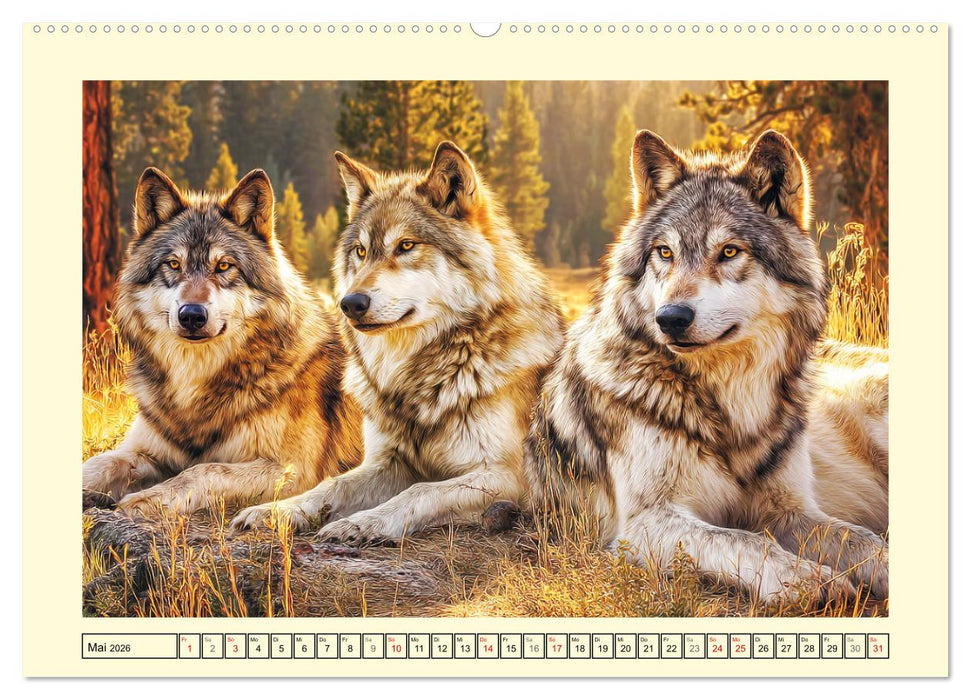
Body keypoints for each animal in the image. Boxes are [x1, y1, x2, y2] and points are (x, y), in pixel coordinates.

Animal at [82, 167, 363, 516]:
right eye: (173, 264)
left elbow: (203, 470)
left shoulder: (294, 469)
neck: (194, 383)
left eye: (224, 265)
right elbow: (96, 464)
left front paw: (144, 500)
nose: (192, 315)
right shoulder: (145, 450)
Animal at [231, 142, 565, 543]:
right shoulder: (389, 460)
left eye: (406, 246)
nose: (350, 304)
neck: (425, 373)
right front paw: (276, 511)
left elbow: (419, 491)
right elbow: (331, 485)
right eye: (360, 251)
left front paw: (360, 523)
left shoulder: (508, 475)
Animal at [525, 129, 889, 603]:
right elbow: (743, 540)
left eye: (729, 251)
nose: (670, 318)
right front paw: (807, 579)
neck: (731, 406)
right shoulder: (644, 523)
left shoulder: (789, 510)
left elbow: (864, 540)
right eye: (665, 252)